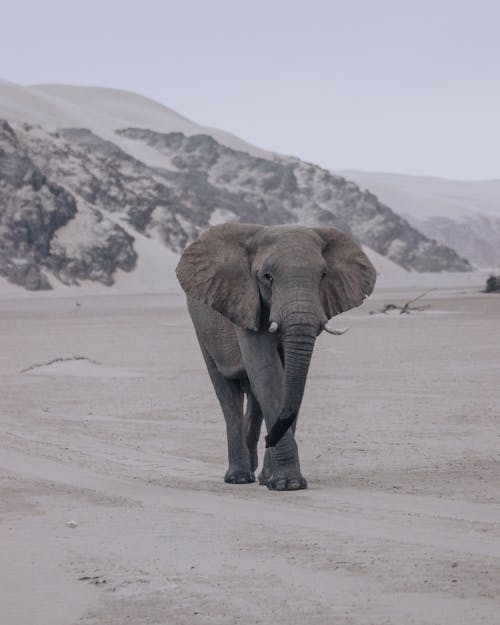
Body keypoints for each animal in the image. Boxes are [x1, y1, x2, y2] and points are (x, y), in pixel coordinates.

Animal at [176, 222, 376, 490]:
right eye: (267, 277)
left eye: (323, 275)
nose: (268, 439)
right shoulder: (245, 300)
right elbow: (269, 374)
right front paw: (288, 484)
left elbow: (287, 380)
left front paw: (276, 480)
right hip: (202, 329)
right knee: (228, 395)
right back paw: (239, 478)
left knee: (254, 398)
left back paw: (257, 475)